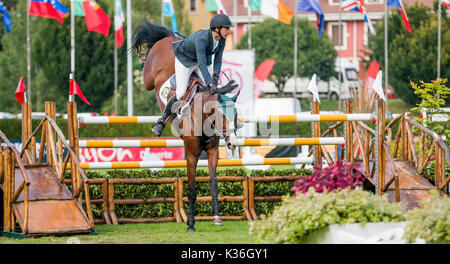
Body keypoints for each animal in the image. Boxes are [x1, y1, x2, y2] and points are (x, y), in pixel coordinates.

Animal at [132, 21, 241, 231]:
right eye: (222, 115)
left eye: (236, 115)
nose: (232, 143)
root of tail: (170, 38)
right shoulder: (191, 154)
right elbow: (191, 188)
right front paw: (190, 223)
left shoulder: (213, 151)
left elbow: (213, 183)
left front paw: (217, 217)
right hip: (150, 78)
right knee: (147, 69)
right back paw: (142, 57)